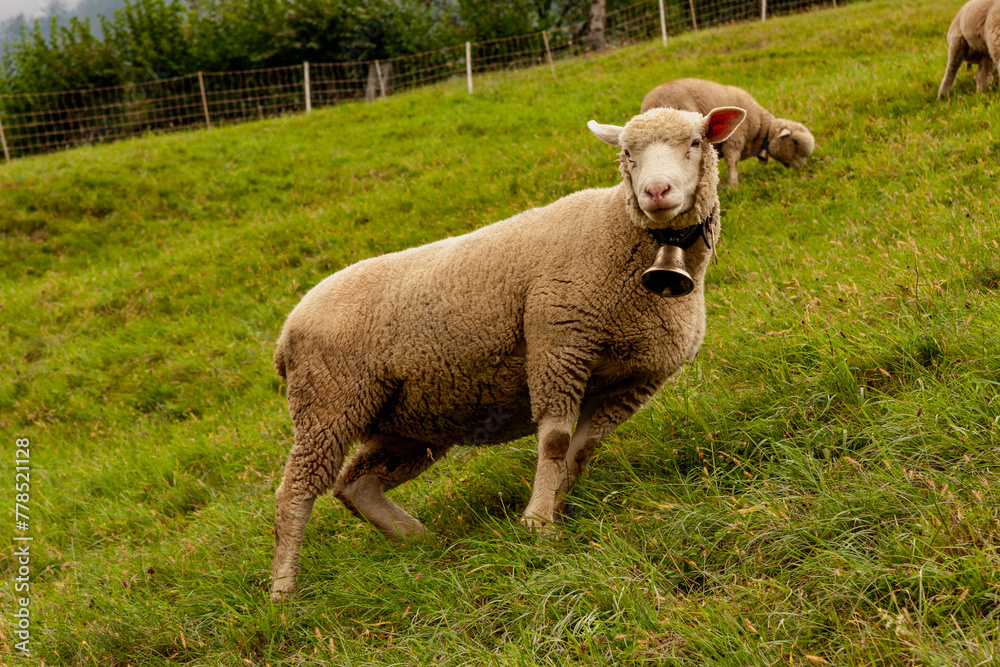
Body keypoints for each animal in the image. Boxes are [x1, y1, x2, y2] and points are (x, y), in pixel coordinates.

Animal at [270, 105, 748, 600]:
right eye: (627, 153)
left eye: (695, 142)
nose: (656, 192)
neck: (621, 239)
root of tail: (287, 331)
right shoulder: (558, 344)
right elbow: (556, 442)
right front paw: (538, 523)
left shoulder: (635, 380)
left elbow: (582, 450)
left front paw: (556, 506)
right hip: (328, 402)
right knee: (296, 494)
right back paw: (284, 591)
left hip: (410, 419)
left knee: (355, 485)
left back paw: (418, 540)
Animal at [640, 78, 812, 189]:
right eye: (795, 142)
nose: (801, 169)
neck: (762, 129)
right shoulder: (734, 140)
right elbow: (732, 163)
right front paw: (733, 186)